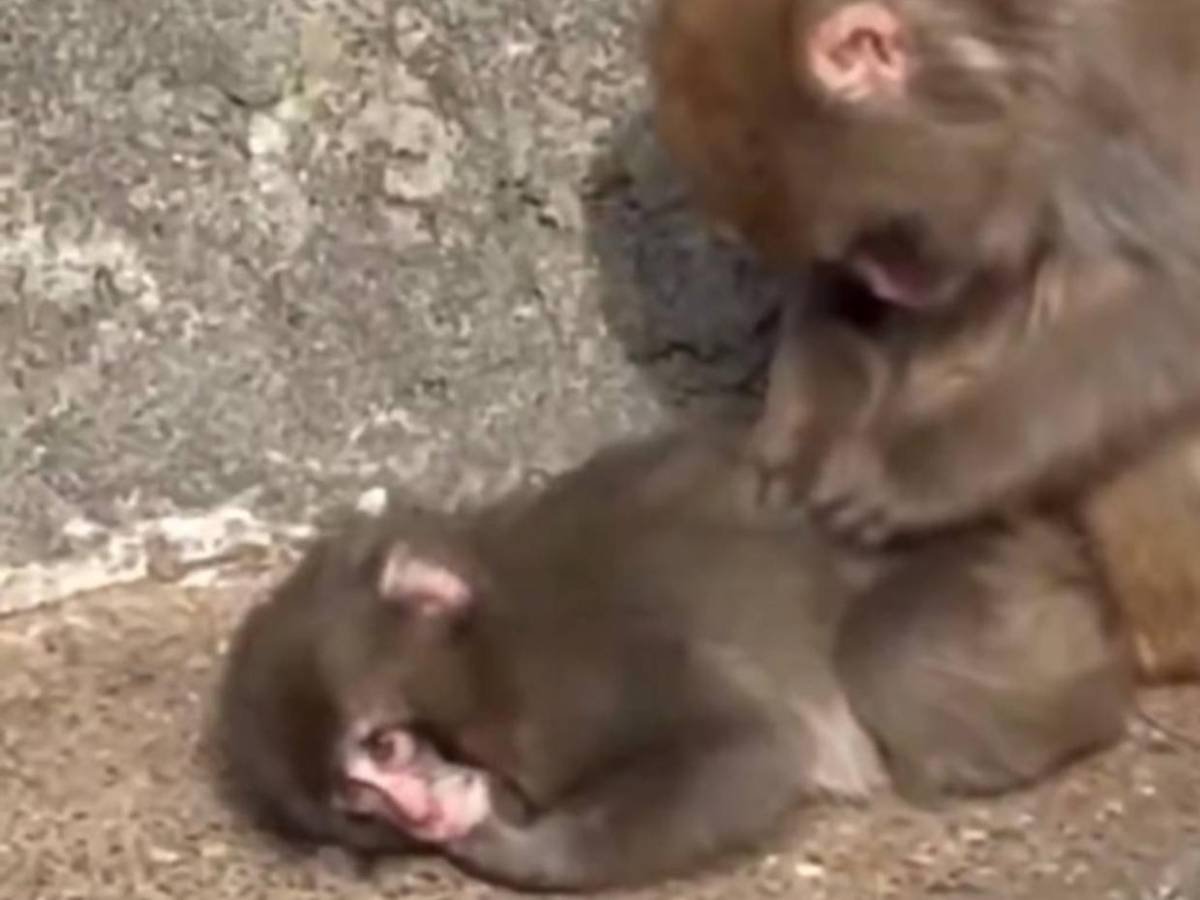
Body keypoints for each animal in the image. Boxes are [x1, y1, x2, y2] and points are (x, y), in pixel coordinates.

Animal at [217, 420, 1132, 891]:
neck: (491, 634)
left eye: (384, 746)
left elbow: (743, 749)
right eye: (359, 799)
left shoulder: (562, 683)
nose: (418, 812)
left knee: (891, 658)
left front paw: (505, 847)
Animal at [649, 0, 1200, 681]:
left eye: (884, 237)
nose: (892, 286)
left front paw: (912, 467)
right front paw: (802, 435)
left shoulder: (1118, 82)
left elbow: (1176, 298)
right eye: (854, 254)